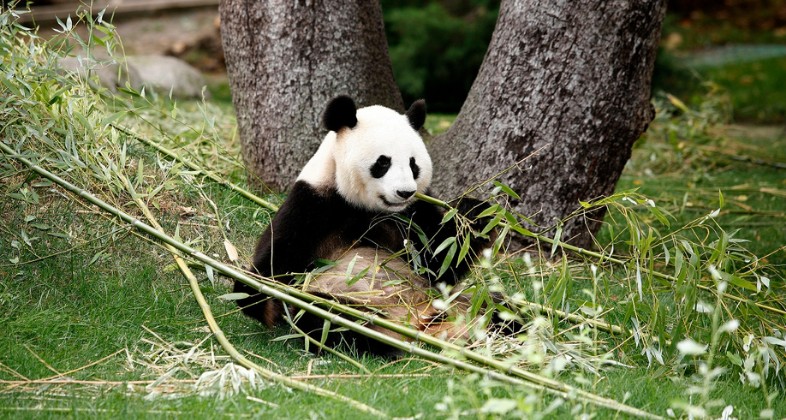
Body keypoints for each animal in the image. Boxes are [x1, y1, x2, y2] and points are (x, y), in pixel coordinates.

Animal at [233, 96, 502, 358]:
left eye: (413, 164)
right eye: (383, 163)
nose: (405, 192)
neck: (368, 208)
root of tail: (418, 320)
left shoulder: (414, 212)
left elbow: (438, 262)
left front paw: (477, 214)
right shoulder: (313, 203)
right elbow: (275, 261)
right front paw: (262, 298)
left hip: (455, 301)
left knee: (496, 306)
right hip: (349, 302)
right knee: (325, 315)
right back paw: (384, 341)